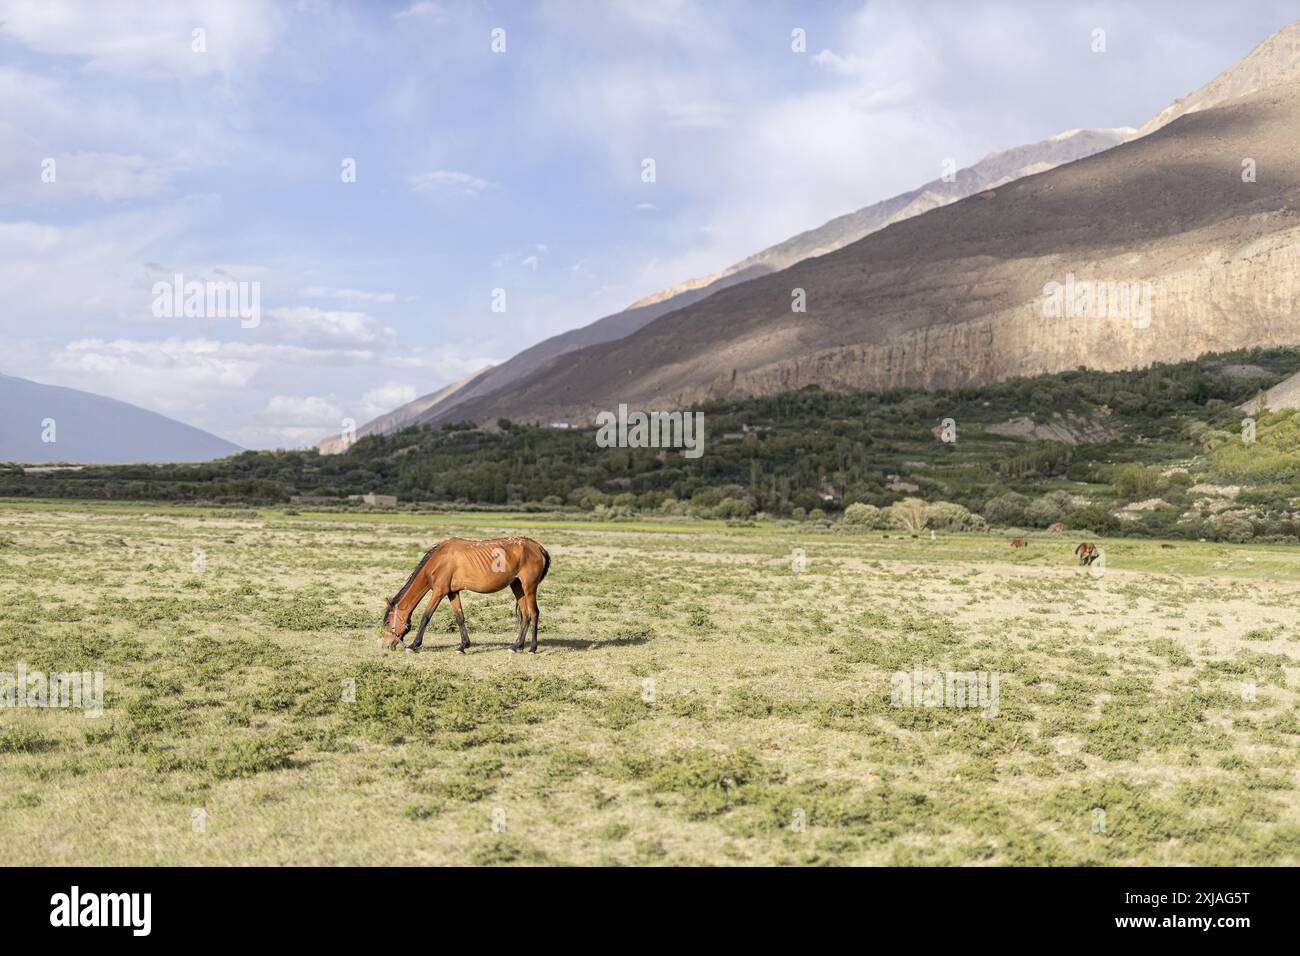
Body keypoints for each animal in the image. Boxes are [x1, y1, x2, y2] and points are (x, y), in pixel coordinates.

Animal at [382, 535, 551, 655]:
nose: (385, 645)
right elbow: (460, 618)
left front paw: (413, 645)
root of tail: (537, 546)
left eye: (387, 622)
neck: (439, 559)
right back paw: (516, 646)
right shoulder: (452, 592)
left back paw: (532, 648)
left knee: (534, 613)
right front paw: (463, 646)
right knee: (525, 615)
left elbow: (426, 616)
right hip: (517, 586)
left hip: (529, 586)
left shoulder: (438, 592)